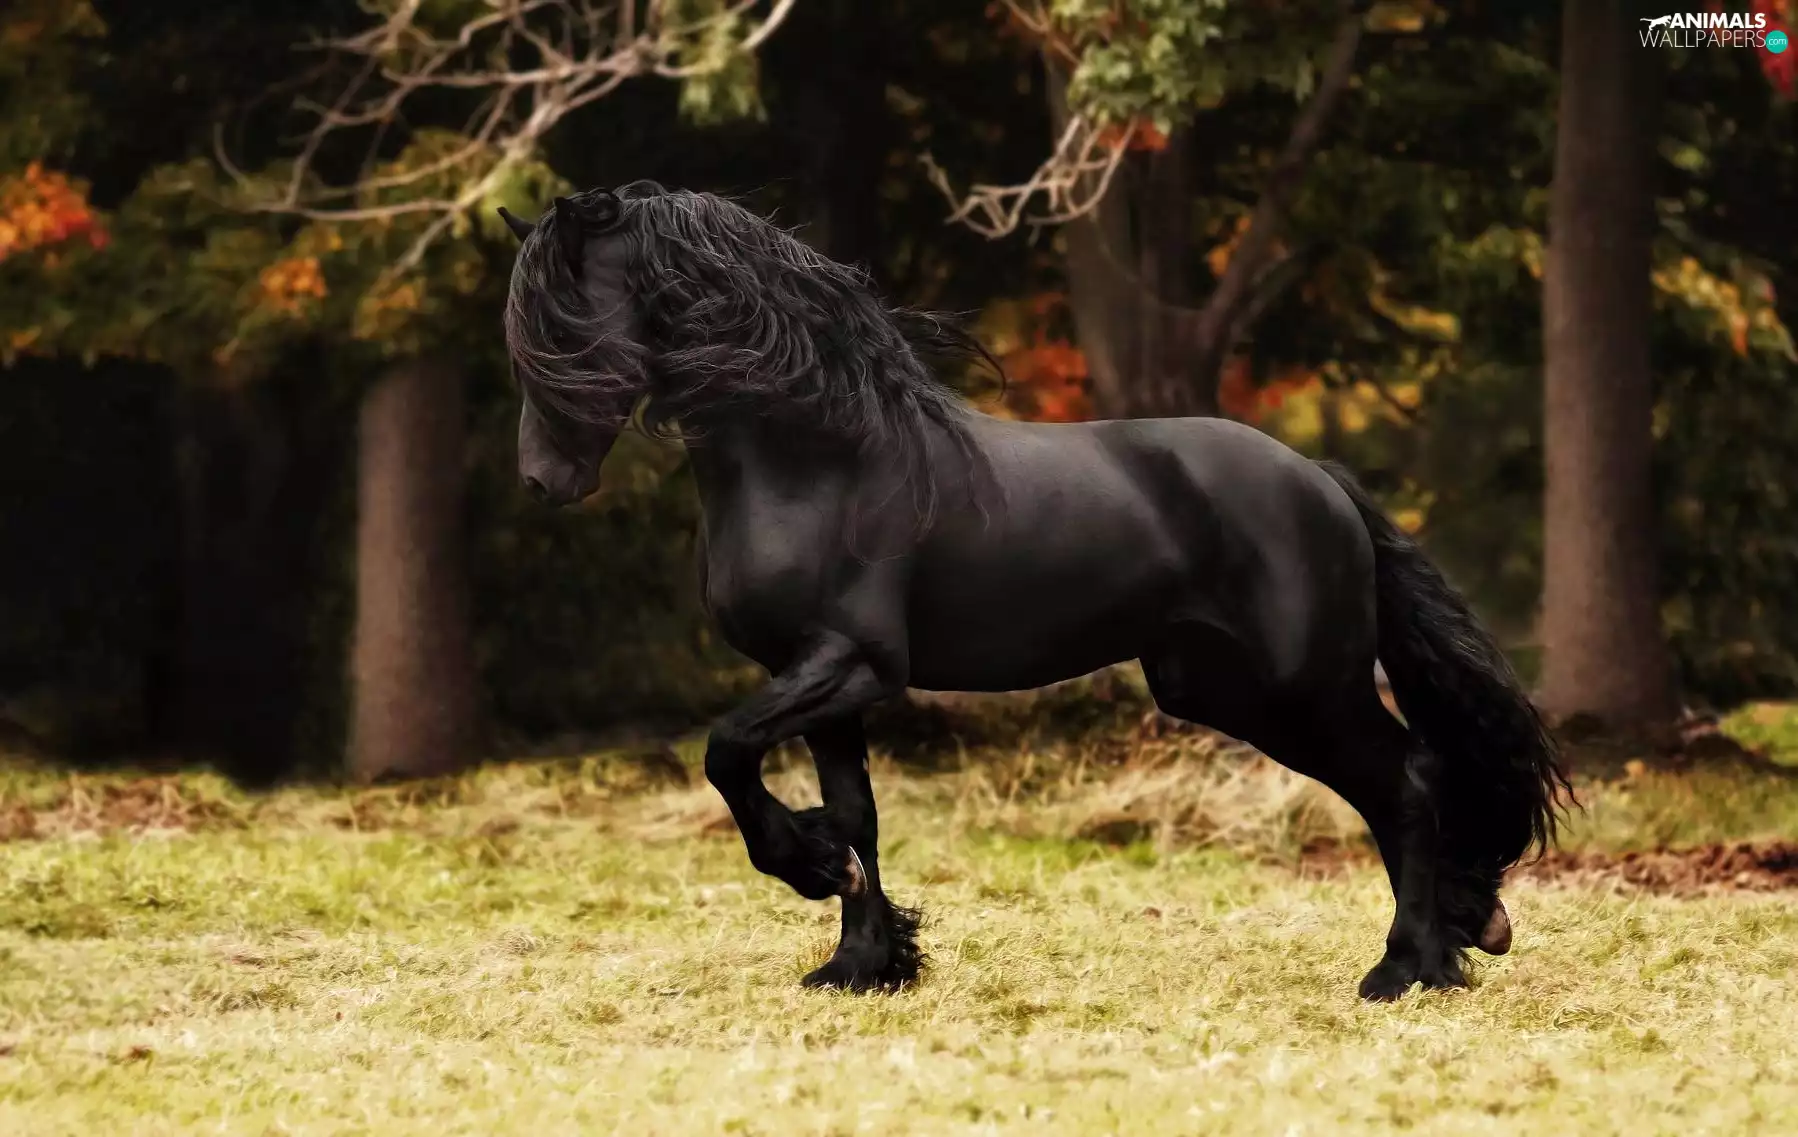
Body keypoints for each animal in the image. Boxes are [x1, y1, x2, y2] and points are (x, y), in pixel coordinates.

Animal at [496, 182, 1573, 1001]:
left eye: (566, 328)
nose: (542, 480)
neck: (816, 459)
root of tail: (1319, 477)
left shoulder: (852, 666)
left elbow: (727, 753)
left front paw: (811, 870)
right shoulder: (823, 686)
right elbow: (855, 812)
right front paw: (862, 963)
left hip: (1304, 688)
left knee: (1405, 783)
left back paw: (1406, 968)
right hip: (1228, 691)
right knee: (1403, 781)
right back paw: (1462, 934)